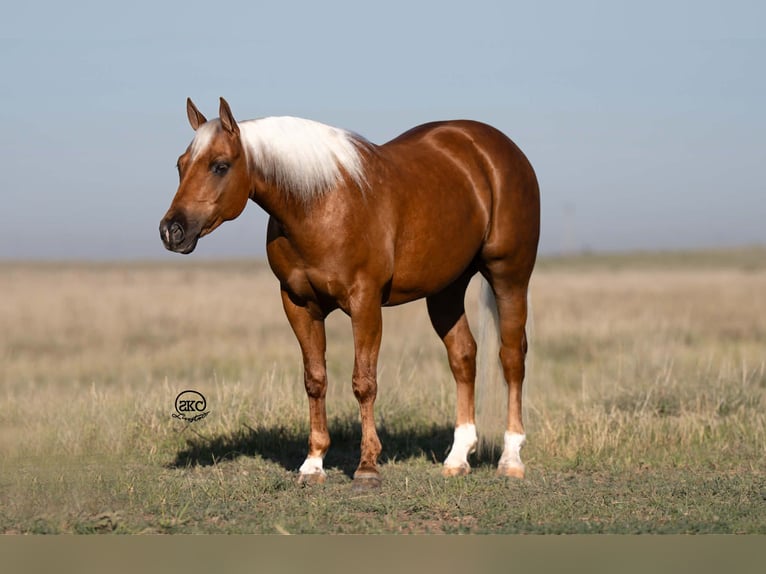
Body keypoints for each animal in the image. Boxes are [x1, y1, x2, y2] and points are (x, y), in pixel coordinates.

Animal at [160, 98, 540, 490]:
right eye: (181, 165)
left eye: (220, 166)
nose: (172, 231)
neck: (319, 204)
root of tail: (494, 148)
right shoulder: (298, 304)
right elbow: (315, 380)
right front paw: (313, 464)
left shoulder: (365, 302)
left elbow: (364, 382)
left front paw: (368, 467)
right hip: (446, 289)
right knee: (463, 356)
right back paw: (458, 458)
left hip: (509, 275)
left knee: (512, 357)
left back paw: (511, 459)